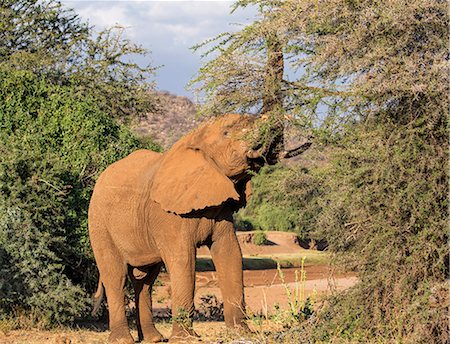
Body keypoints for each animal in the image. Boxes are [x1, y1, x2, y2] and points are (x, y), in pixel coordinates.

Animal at [89, 113, 306, 342]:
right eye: (226, 132)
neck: (194, 140)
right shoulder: (167, 214)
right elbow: (183, 260)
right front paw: (185, 339)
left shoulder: (222, 211)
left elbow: (230, 253)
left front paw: (241, 333)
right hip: (99, 224)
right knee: (116, 277)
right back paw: (123, 339)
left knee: (145, 281)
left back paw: (154, 338)